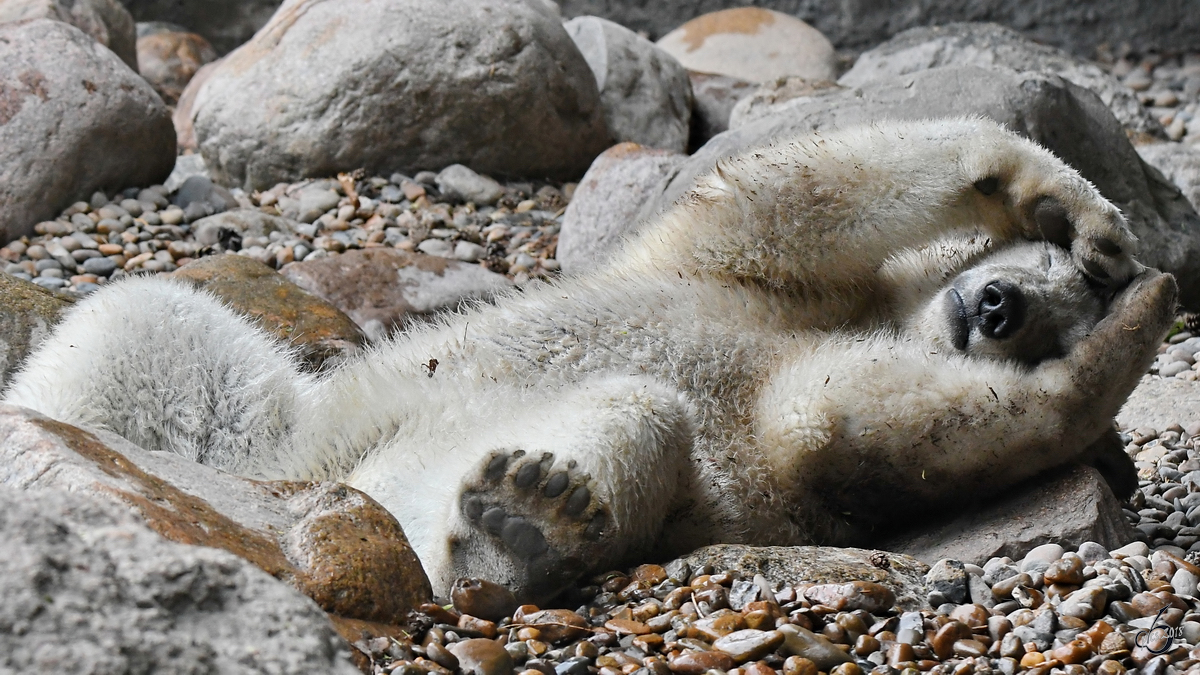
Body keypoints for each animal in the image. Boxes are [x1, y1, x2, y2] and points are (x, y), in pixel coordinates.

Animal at [4, 117, 1176, 598]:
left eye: (1064, 314)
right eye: (1057, 277)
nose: (1000, 308)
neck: (882, 316)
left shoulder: (781, 447)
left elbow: (865, 431)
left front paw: (1108, 366)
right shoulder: (747, 279)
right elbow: (795, 196)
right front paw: (1074, 207)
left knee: (631, 418)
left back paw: (522, 526)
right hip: (261, 436)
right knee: (148, 331)